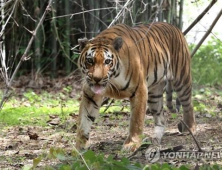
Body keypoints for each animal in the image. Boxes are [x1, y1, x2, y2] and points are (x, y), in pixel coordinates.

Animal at [75, 21, 195, 151]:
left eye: (107, 61)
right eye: (90, 60)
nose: (97, 79)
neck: (113, 79)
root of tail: (175, 27)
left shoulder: (139, 90)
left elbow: (136, 120)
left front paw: (131, 144)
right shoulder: (90, 95)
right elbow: (84, 121)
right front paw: (79, 147)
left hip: (182, 79)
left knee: (188, 105)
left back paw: (189, 129)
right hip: (155, 93)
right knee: (161, 118)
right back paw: (155, 138)